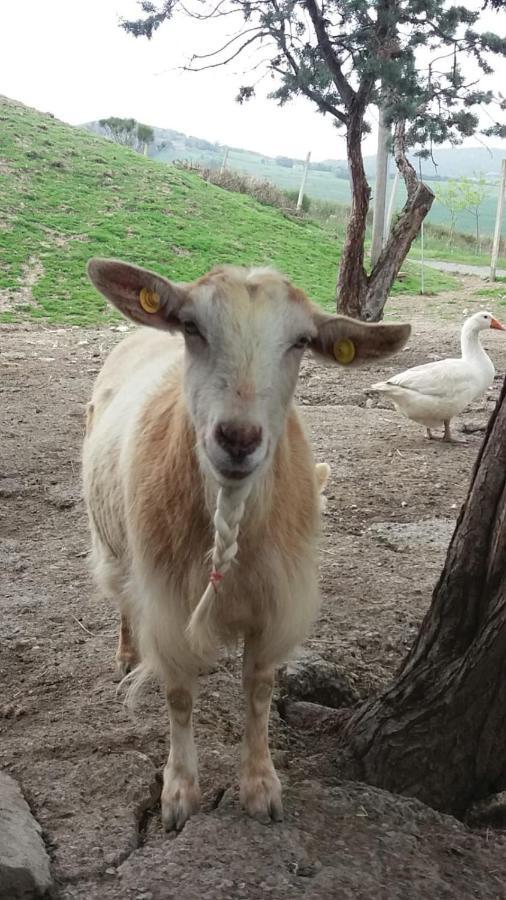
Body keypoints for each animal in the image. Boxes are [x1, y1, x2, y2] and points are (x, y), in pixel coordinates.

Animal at [81, 258, 410, 828]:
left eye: (301, 342)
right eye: (191, 326)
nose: (238, 438)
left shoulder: (275, 601)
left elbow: (258, 691)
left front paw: (261, 788)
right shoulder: (167, 601)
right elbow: (178, 695)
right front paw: (179, 794)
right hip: (114, 544)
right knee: (121, 598)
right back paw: (126, 653)